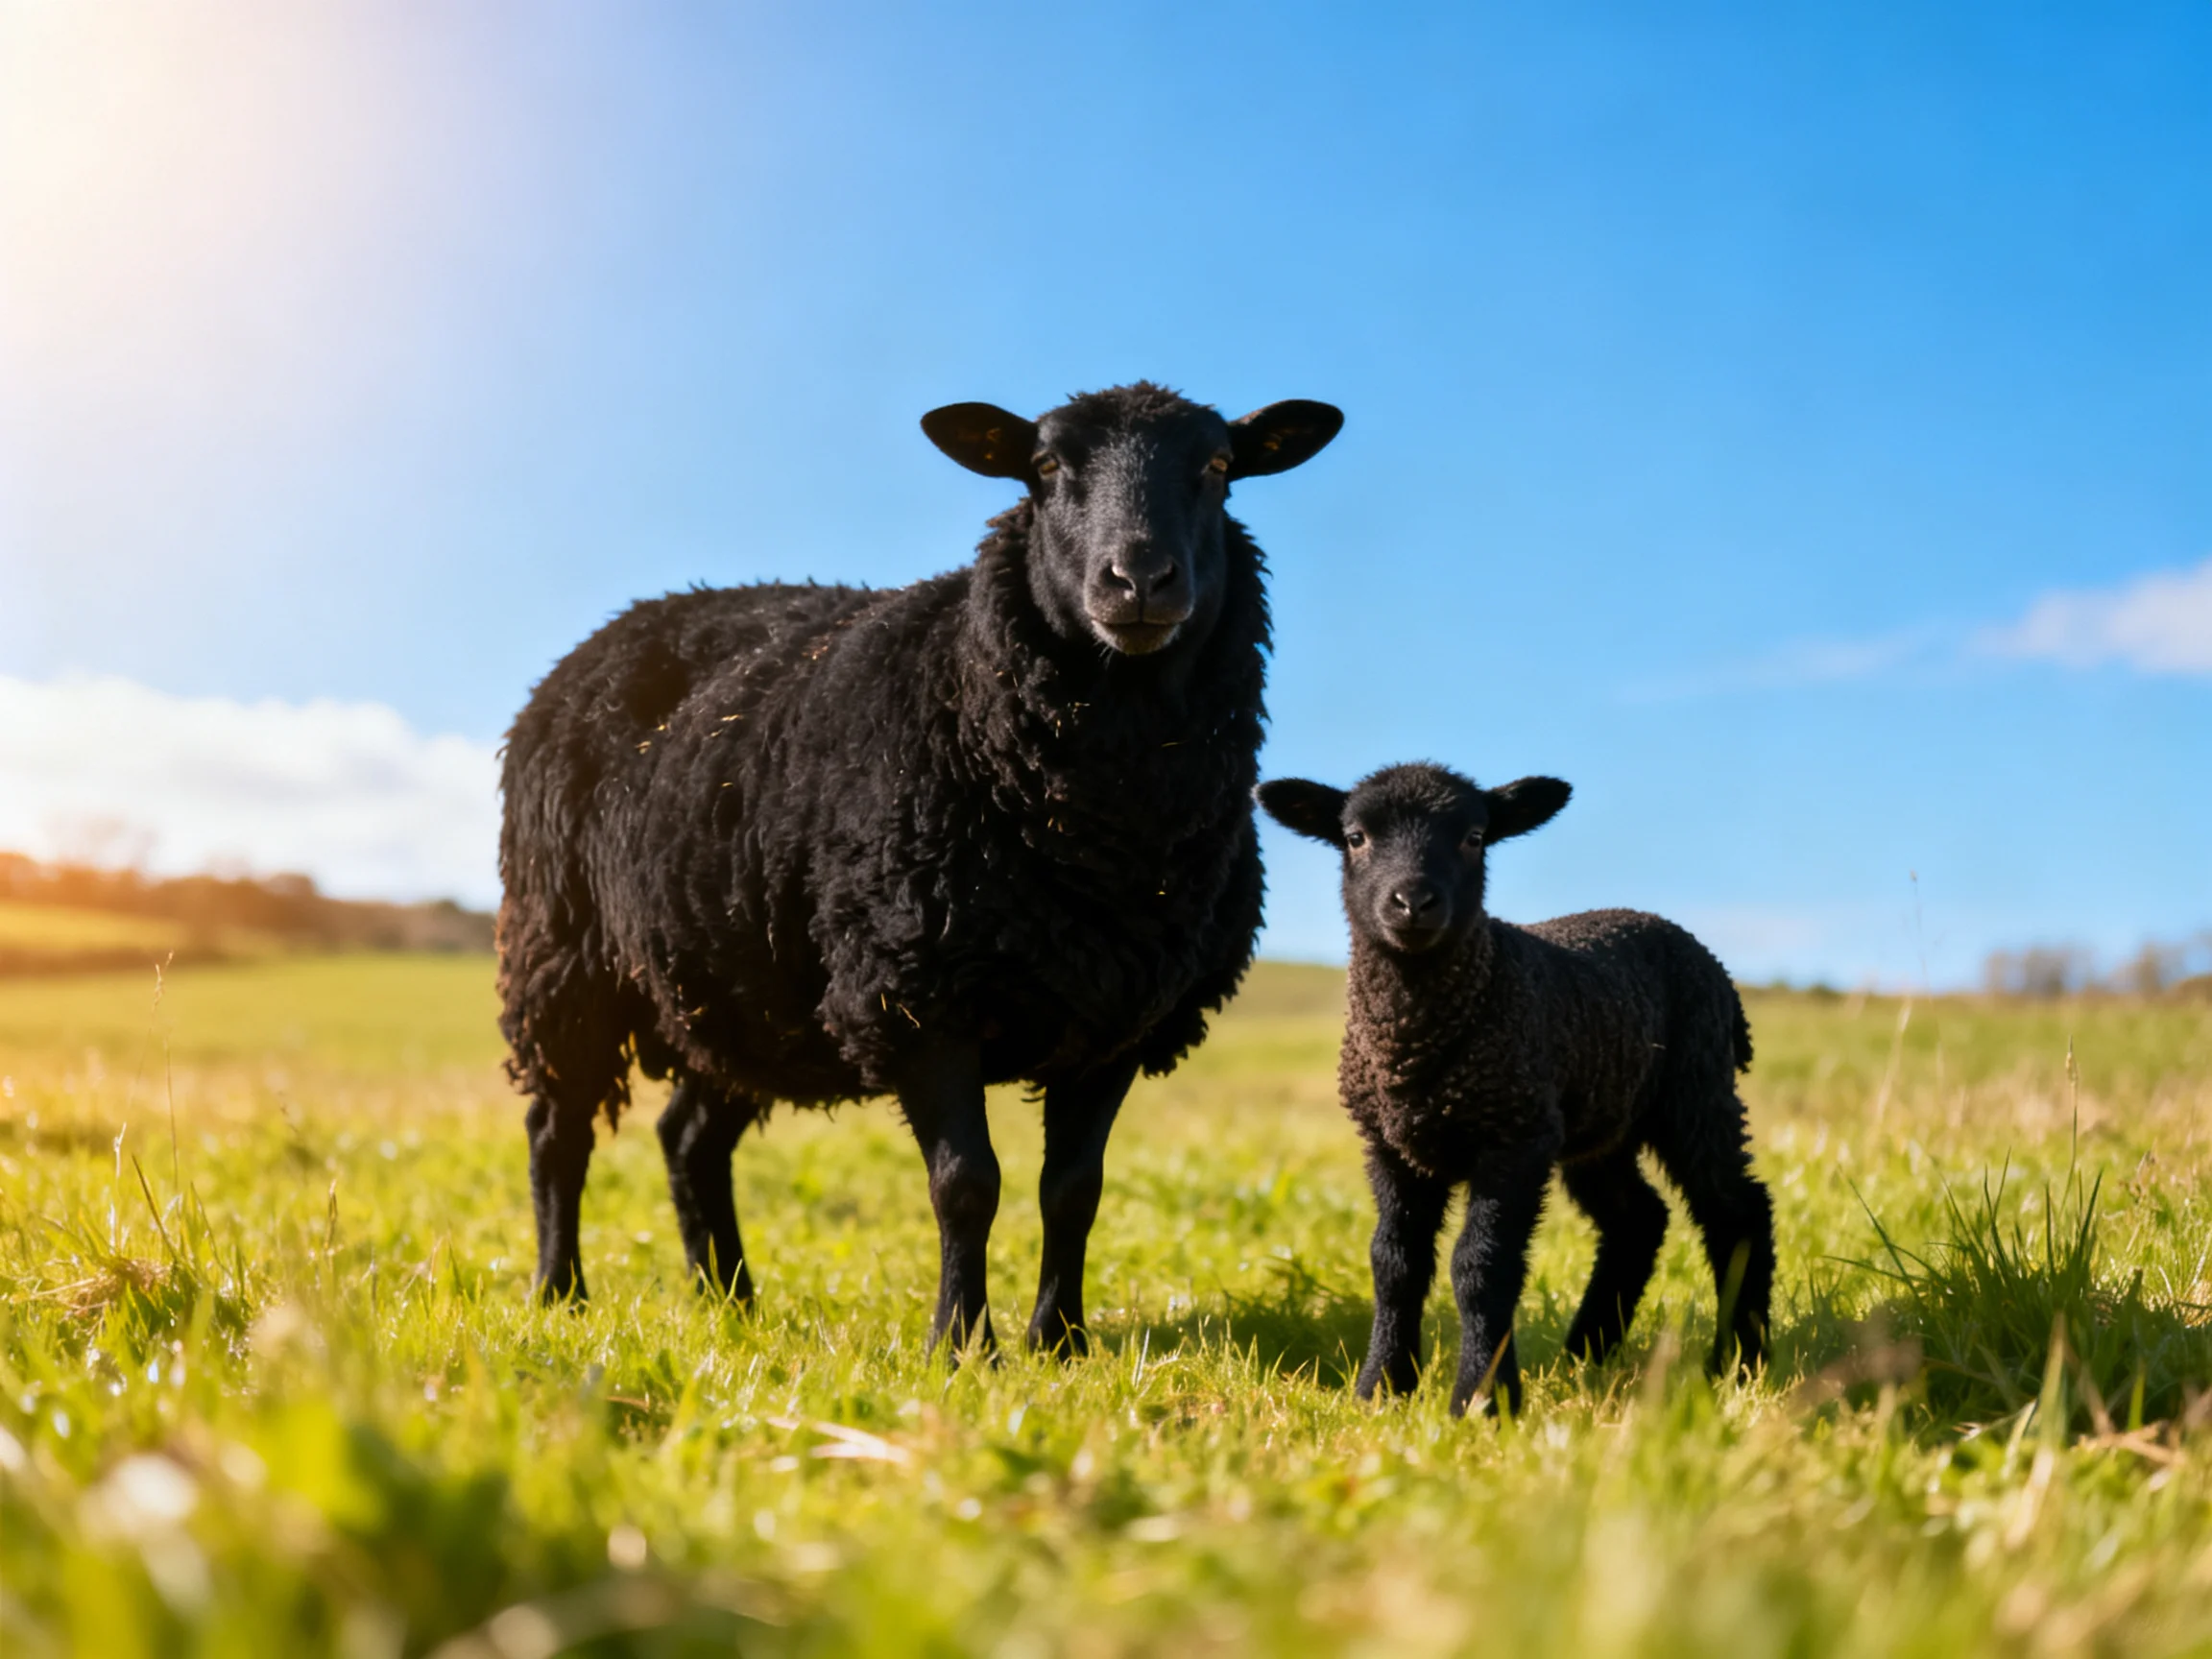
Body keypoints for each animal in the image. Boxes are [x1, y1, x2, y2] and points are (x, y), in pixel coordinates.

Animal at [499, 381, 1343, 1357]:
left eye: (1216, 467)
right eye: (1044, 466)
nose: (1137, 581)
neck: (1099, 841)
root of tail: (613, 629)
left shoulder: (1119, 1017)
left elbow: (1074, 1192)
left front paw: (1060, 1341)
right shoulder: (916, 994)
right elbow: (966, 1183)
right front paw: (963, 1344)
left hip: (742, 984)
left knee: (689, 1136)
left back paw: (731, 1300)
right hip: (563, 957)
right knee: (556, 1129)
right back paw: (559, 1291)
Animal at [1256, 762, 1774, 1415]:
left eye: (1474, 837)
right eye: (1355, 838)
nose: (1413, 902)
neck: (1414, 1044)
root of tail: (1716, 970)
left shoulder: (1513, 1136)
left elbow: (1482, 1266)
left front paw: (1482, 1399)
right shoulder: (1390, 1144)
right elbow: (1395, 1263)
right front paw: (1383, 1388)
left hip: (1695, 1090)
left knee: (1737, 1210)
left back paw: (1740, 1361)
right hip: (1599, 1122)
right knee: (1638, 1218)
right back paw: (1587, 1353)